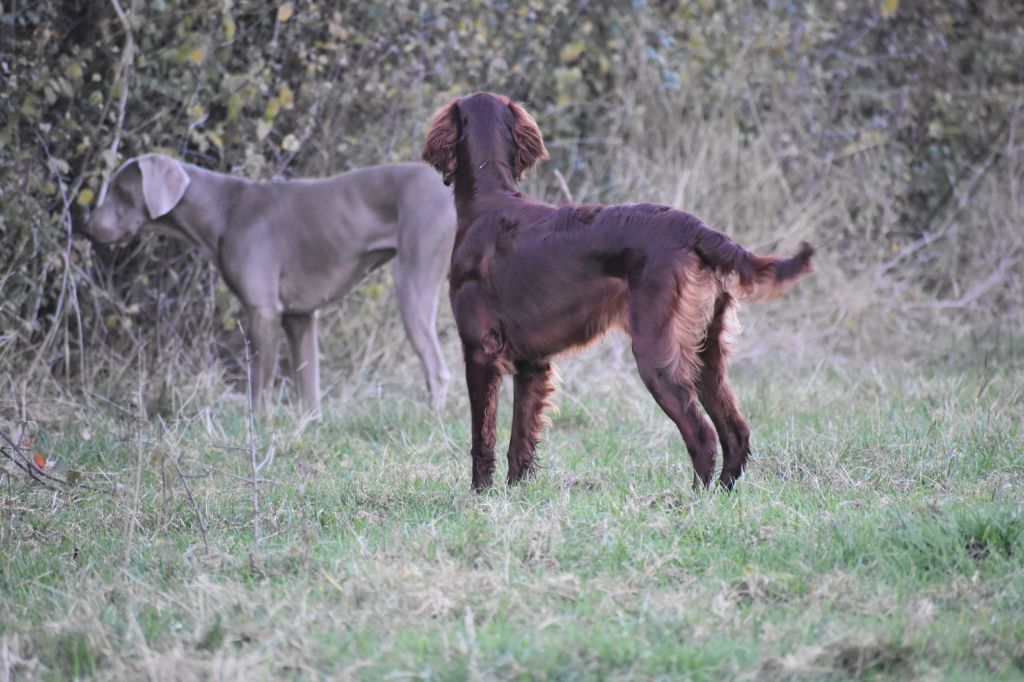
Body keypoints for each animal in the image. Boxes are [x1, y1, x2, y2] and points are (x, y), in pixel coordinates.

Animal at [83, 153, 456, 409]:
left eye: (120, 191)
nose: (87, 229)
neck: (222, 209)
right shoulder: (300, 317)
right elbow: (308, 387)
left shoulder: (264, 311)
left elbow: (259, 386)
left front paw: (261, 426)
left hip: (414, 283)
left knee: (438, 370)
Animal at [419, 93, 811, 491]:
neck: (489, 201)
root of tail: (697, 230)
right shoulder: (532, 362)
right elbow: (521, 439)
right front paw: (517, 493)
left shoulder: (480, 351)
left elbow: (482, 436)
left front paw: (479, 494)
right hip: (706, 354)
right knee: (736, 432)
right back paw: (723, 493)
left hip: (656, 355)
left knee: (703, 436)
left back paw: (693, 498)